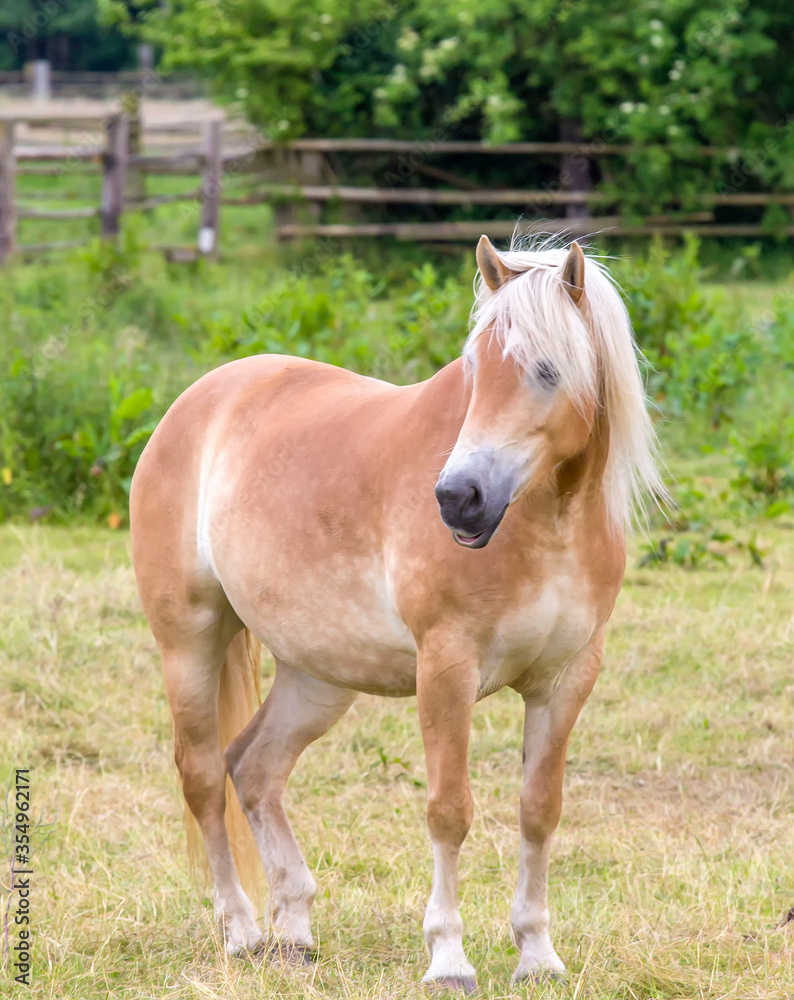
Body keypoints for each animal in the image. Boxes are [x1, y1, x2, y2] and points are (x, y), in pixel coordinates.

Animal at [130, 235, 662, 991]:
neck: (547, 525)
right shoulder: (446, 670)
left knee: (254, 770)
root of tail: (197, 402)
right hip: (189, 642)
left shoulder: (566, 681)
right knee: (203, 776)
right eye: (474, 367)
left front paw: (537, 954)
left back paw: (295, 931)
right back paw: (240, 931)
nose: (459, 498)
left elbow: (539, 811)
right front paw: (448, 958)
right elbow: (449, 811)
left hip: (317, 676)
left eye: (547, 369)